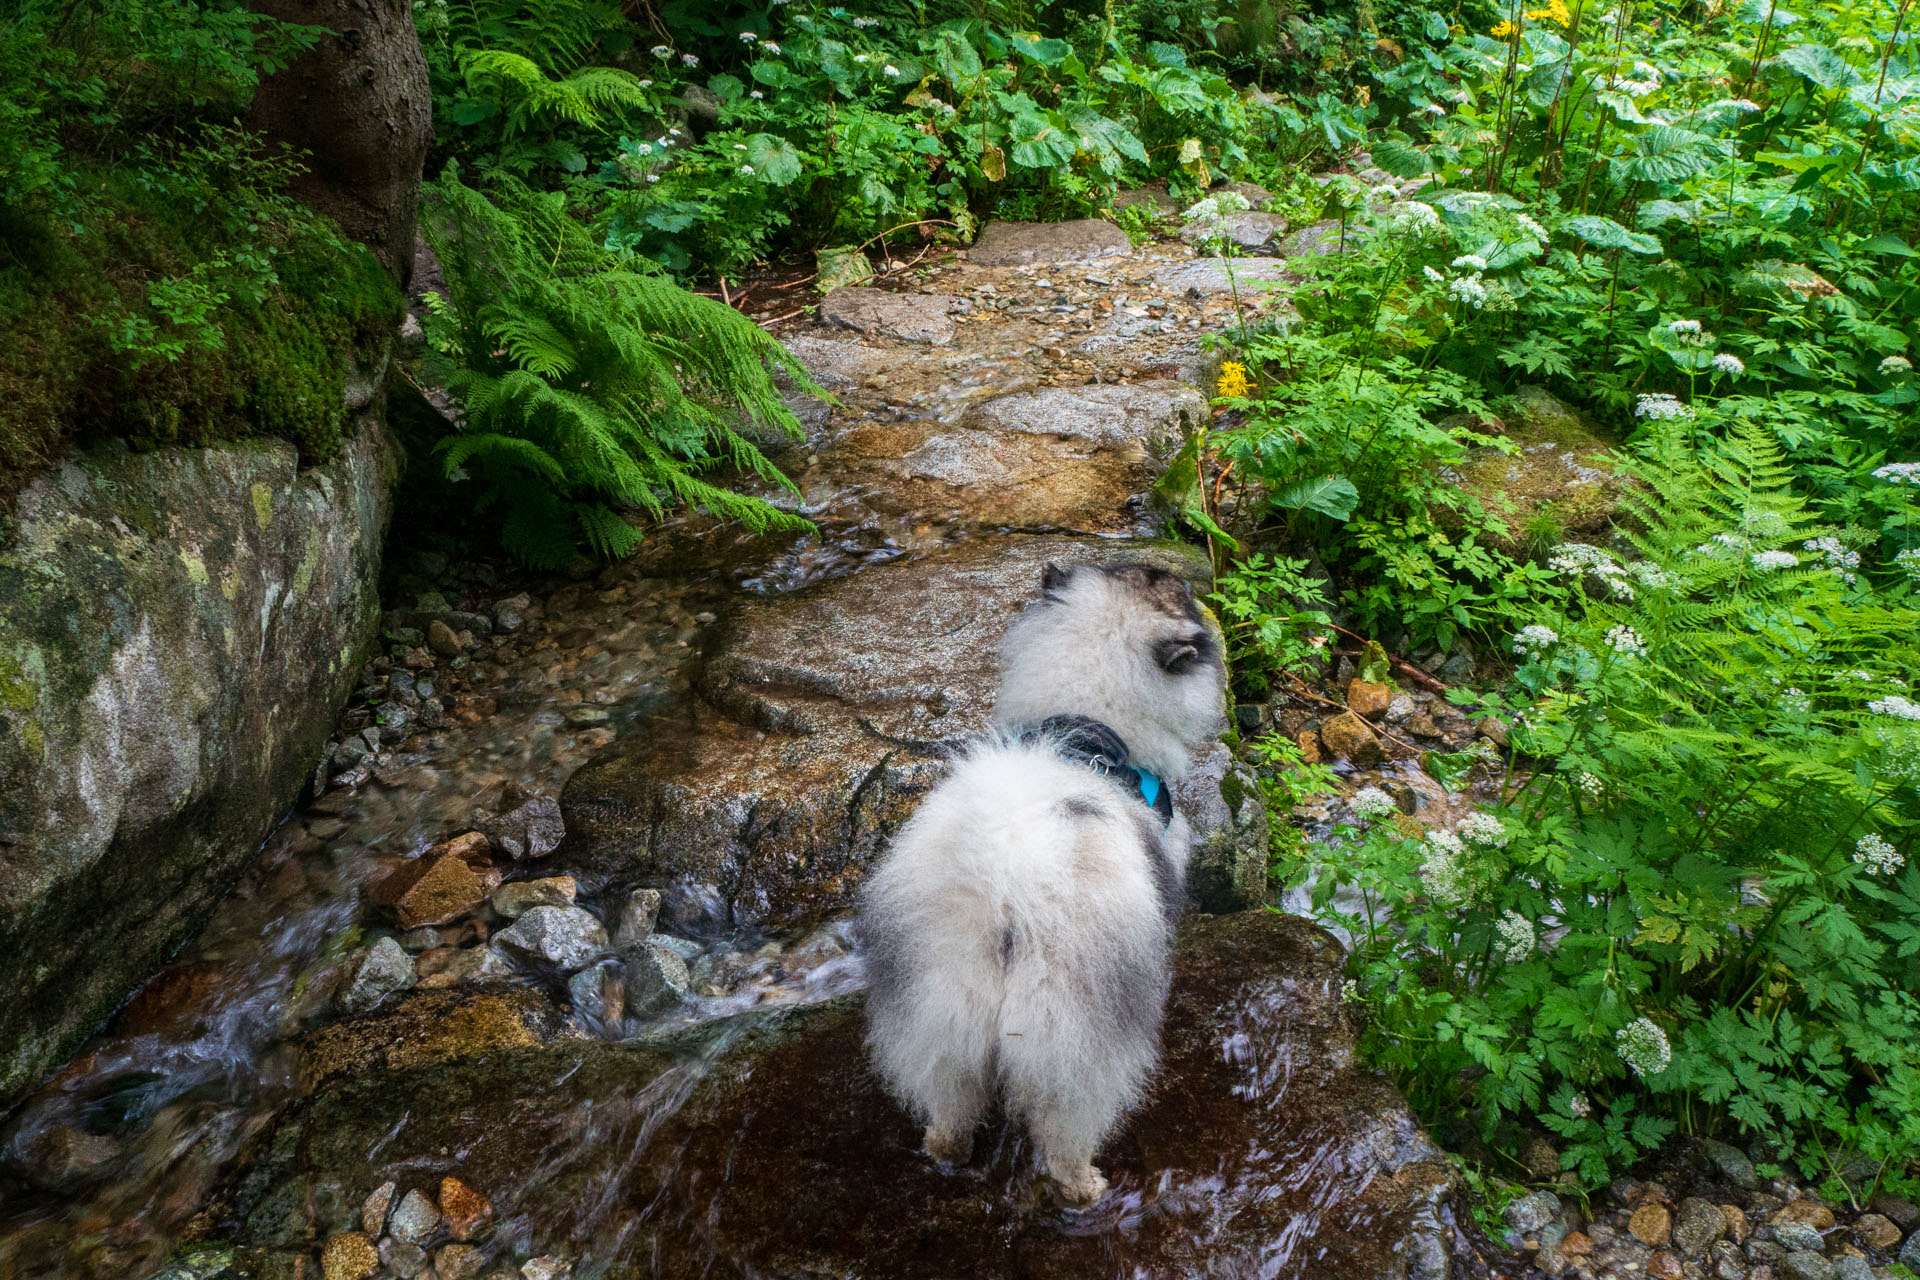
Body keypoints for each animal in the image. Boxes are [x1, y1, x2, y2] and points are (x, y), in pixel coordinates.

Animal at [860, 564, 1221, 1212]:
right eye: (1168, 586)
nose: (1189, 582)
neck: (1086, 720)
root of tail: (1006, 886)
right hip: (1074, 1041)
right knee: (1066, 1134)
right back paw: (1087, 1188)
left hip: (940, 1016)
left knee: (948, 1110)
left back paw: (950, 1153)